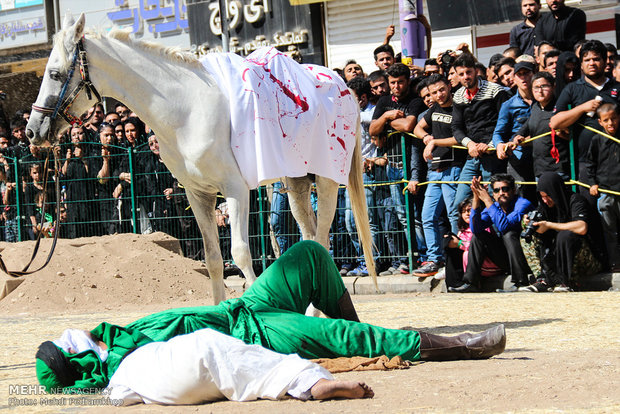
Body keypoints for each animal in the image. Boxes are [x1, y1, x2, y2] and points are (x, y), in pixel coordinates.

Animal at [26, 14, 376, 304]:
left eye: (55, 74)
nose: (32, 130)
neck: (187, 110)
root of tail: (341, 85)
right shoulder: (198, 195)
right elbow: (212, 259)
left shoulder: (236, 190)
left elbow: (240, 253)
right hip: (297, 181)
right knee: (311, 240)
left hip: (327, 181)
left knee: (323, 240)